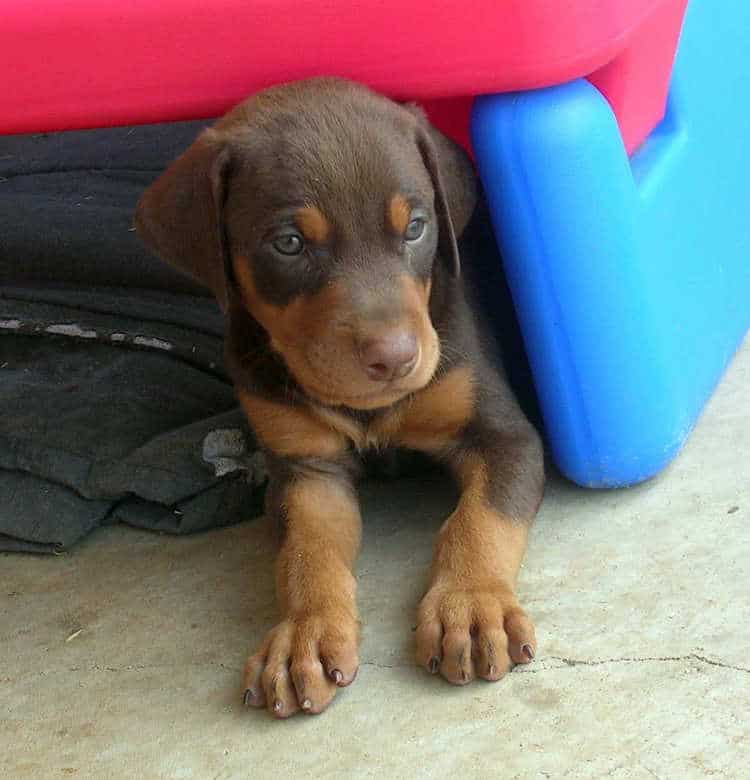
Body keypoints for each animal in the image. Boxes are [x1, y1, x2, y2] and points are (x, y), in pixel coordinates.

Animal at [137, 77, 548, 720]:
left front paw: (471, 602)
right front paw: (303, 634)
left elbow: (480, 519)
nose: (395, 359)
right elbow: (307, 553)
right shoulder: (306, 469)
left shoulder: (505, 436)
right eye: (288, 243)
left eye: (416, 227)